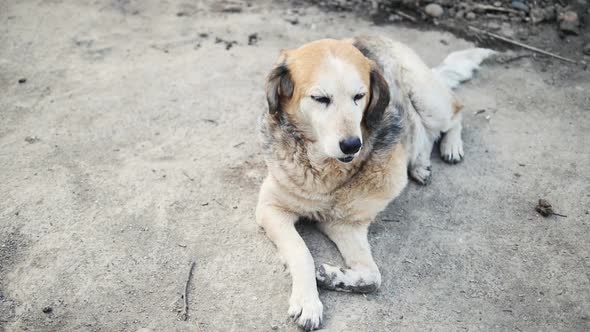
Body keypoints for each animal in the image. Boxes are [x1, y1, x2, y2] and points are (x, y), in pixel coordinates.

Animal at [256, 34, 498, 330]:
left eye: (359, 96)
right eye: (320, 98)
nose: (352, 145)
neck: (326, 173)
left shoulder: (348, 224)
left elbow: (373, 277)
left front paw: (330, 276)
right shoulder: (271, 208)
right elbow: (304, 253)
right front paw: (309, 300)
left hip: (428, 100)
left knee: (455, 111)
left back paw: (451, 146)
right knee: (422, 131)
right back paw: (420, 164)